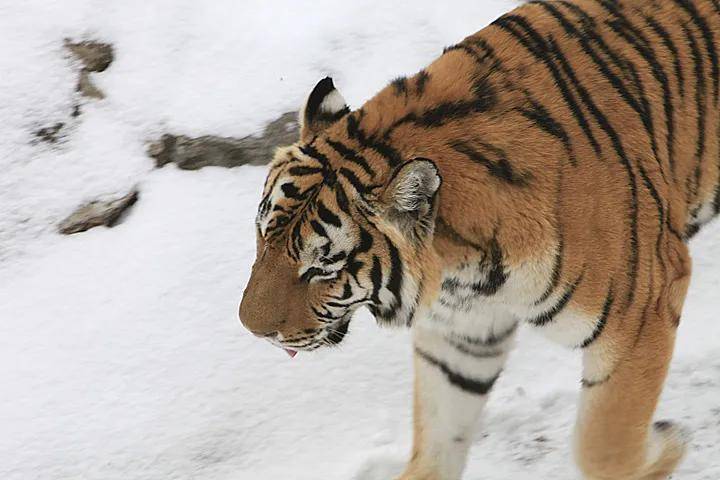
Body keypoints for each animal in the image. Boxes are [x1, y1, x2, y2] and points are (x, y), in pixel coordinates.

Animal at [238, 0, 720, 478]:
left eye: (322, 268)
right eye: (262, 236)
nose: (251, 330)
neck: (464, 270)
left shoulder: (642, 311)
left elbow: (604, 444)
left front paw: (668, 446)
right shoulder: (460, 336)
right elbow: (436, 442)